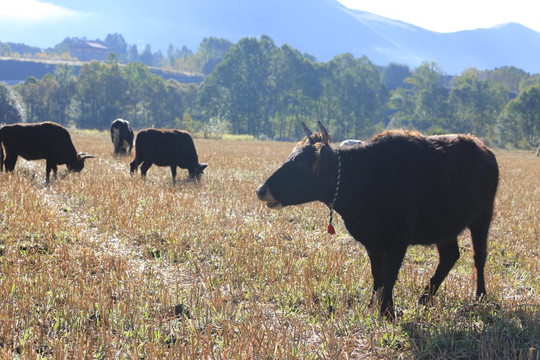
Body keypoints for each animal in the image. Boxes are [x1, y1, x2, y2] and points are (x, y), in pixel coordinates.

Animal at [255, 122, 500, 320]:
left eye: (301, 163)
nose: (261, 190)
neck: (364, 175)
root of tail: (485, 151)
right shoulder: (372, 242)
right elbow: (376, 274)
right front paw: (373, 305)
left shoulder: (398, 240)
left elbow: (389, 274)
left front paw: (387, 311)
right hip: (445, 227)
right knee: (450, 256)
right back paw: (424, 298)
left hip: (482, 217)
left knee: (479, 256)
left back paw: (480, 295)